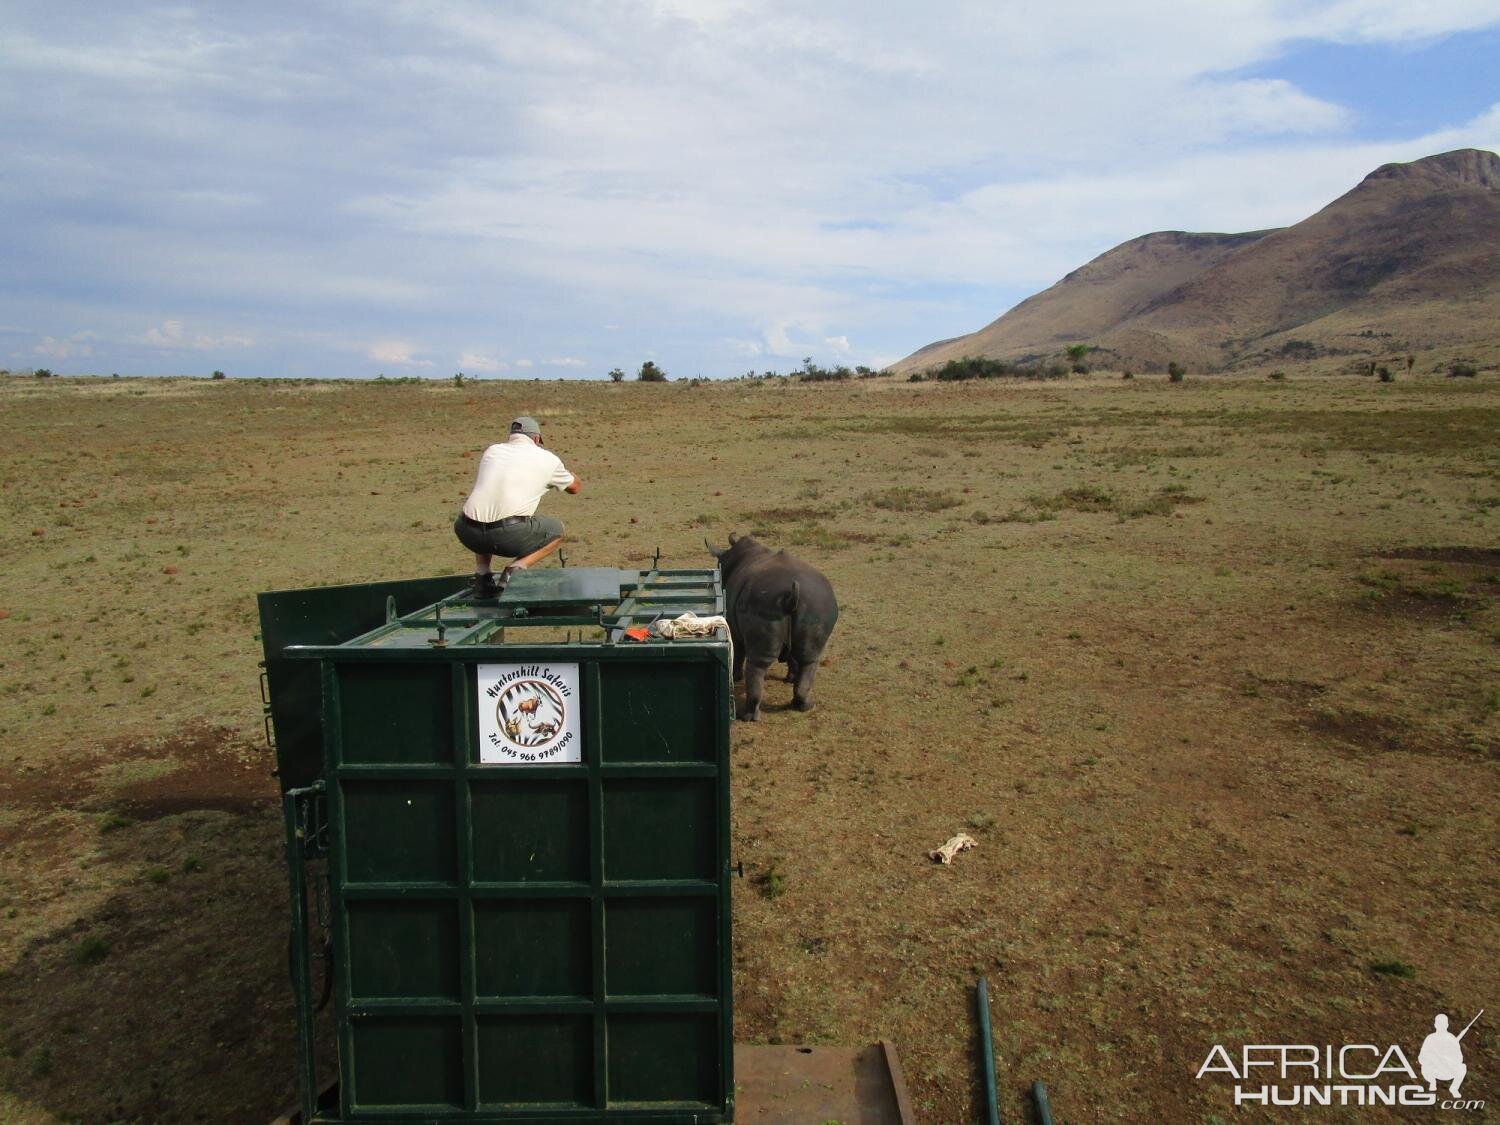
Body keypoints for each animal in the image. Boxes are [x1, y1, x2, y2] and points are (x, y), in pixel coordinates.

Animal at [705, 534, 840, 723]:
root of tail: (792, 595)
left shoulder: (733, 627)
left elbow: (738, 651)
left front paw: (736, 677)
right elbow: (793, 658)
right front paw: (790, 679)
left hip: (764, 604)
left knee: (757, 663)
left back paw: (747, 716)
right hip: (817, 604)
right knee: (809, 658)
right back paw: (804, 706)